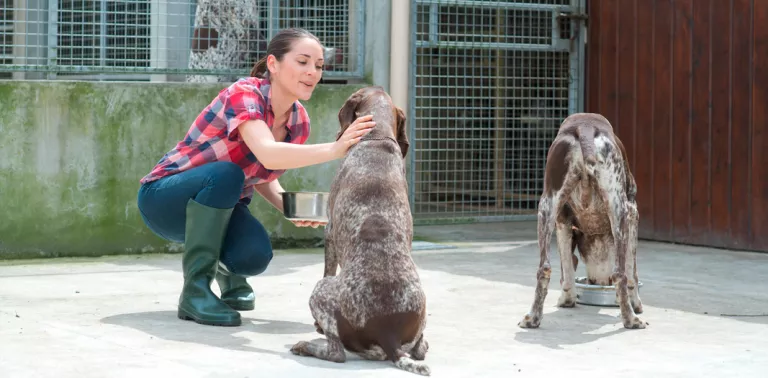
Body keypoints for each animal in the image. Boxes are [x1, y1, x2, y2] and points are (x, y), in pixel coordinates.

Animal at [288, 87, 432, 376]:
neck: (376, 138)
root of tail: (389, 334)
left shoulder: (329, 232)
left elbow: (328, 267)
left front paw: (316, 329)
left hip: (321, 291)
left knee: (336, 353)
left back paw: (306, 346)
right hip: (421, 315)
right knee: (420, 349)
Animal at [516, 113, 648, 330]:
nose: (597, 282)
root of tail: (584, 128)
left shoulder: (563, 221)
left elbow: (567, 269)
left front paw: (567, 299)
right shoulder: (632, 213)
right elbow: (632, 272)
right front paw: (636, 303)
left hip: (547, 206)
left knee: (544, 268)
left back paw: (533, 317)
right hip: (619, 207)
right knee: (620, 272)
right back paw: (631, 319)